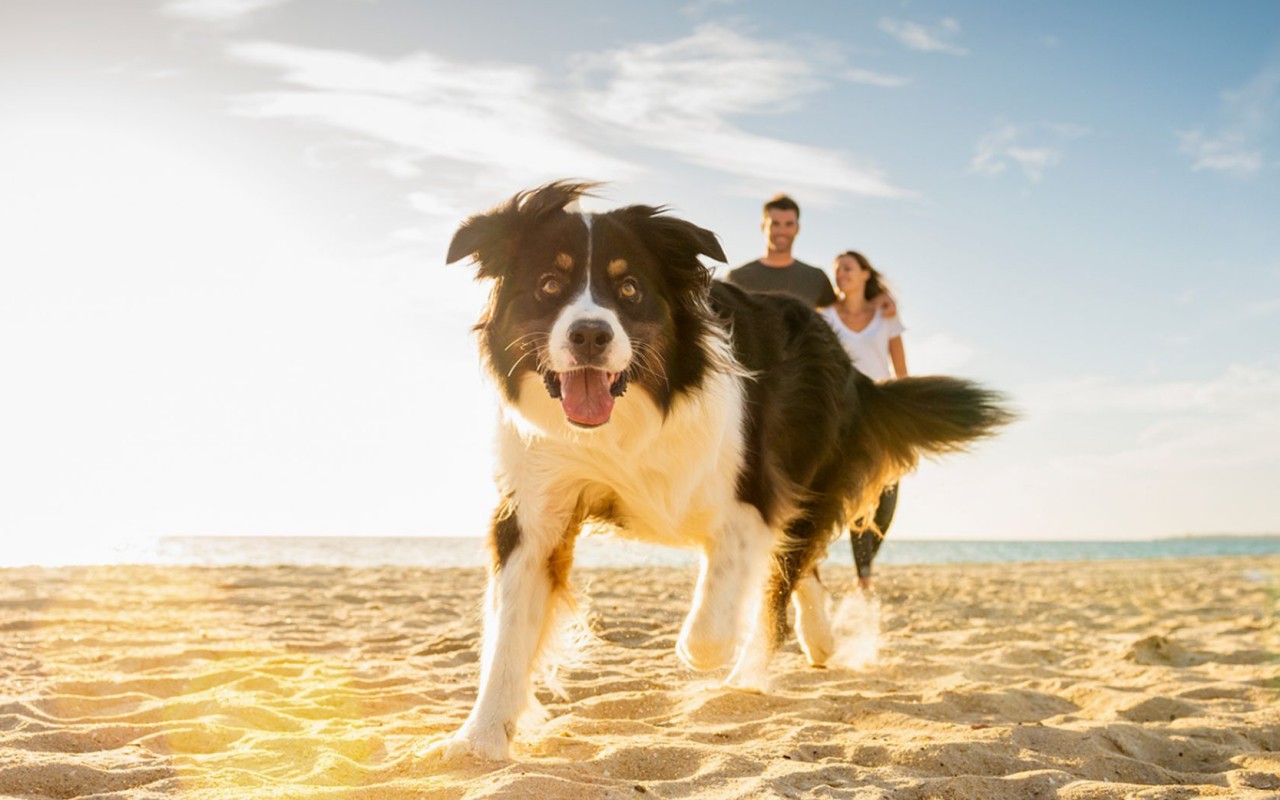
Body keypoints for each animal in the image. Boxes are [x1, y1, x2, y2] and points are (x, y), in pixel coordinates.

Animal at [435, 183, 1013, 762]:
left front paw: (704, 655)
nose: (590, 335)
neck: (627, 420)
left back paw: (748, 676)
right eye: (549, 285)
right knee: (798, 567)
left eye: (629, 288)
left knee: (782, 578)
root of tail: (848, 364)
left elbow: (715, 620)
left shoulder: (753, 495)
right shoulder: (535, 509)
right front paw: (479, 737)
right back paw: (819, 640)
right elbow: (509, 632)